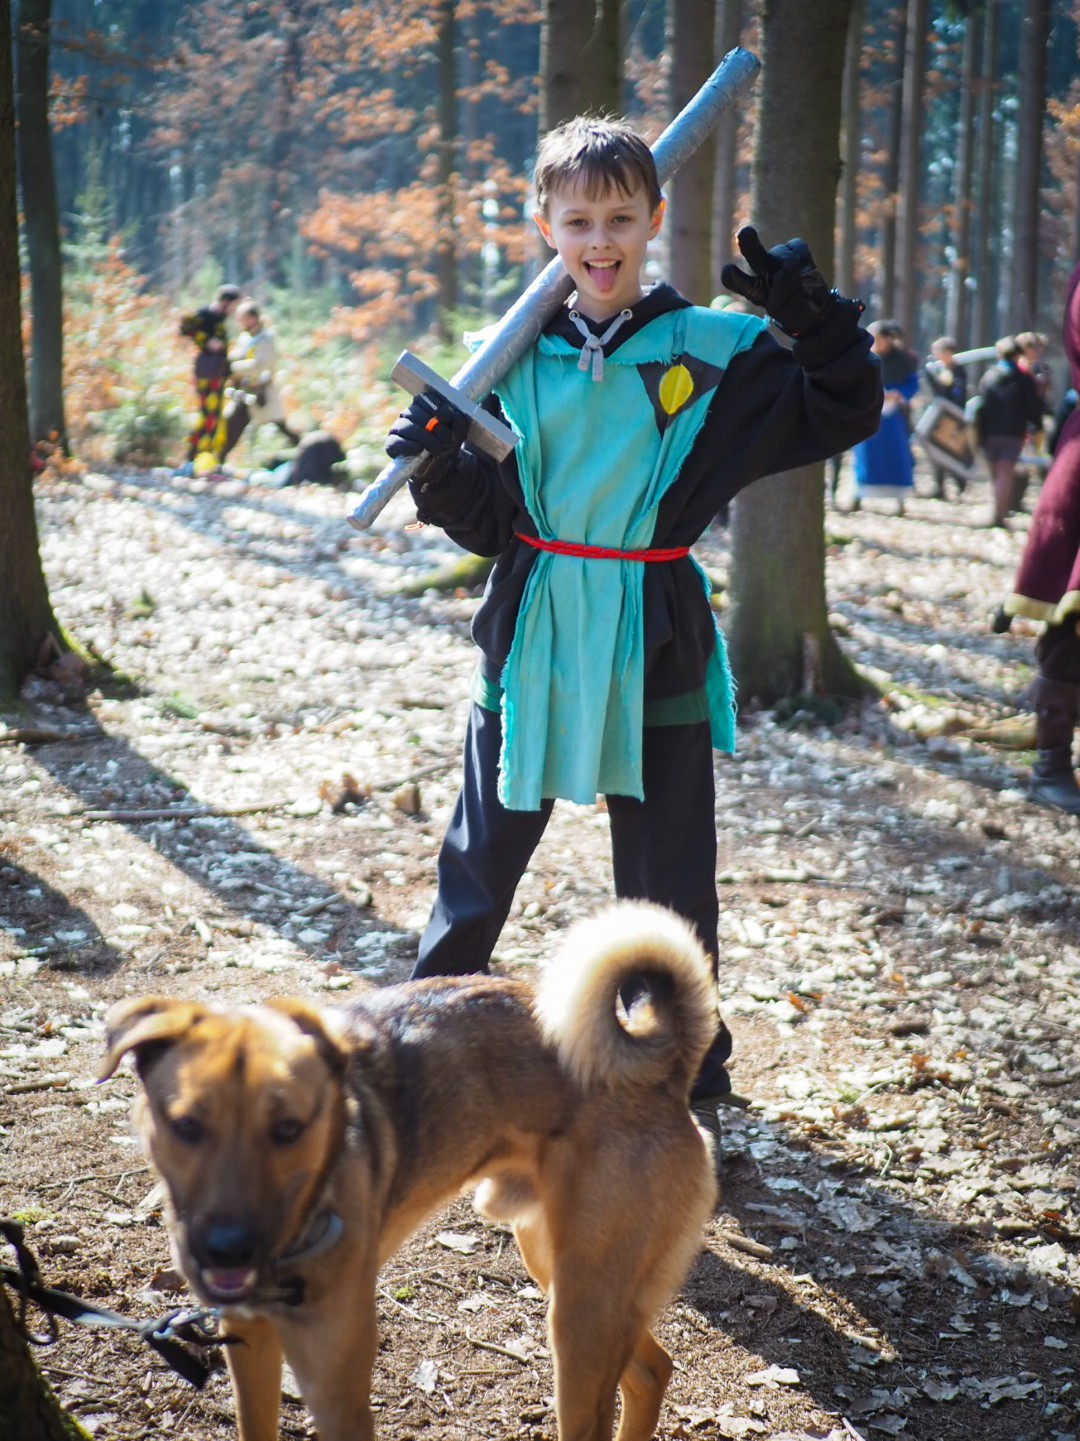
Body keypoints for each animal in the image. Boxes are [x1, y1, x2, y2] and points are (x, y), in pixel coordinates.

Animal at [100, 902, 718, 1441]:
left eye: (288, 1129)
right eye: (186, 1125)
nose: (227, 1249)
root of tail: (663, 1072)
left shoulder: (337, 1394)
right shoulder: (250, 1351)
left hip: (580, 1315)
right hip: (563, 1274)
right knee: (652, 1370)